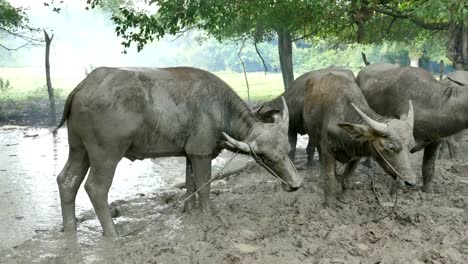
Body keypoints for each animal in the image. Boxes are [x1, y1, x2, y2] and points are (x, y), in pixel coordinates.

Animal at [54, 67, 304, 236]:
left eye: (287, 150)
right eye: (264, 158)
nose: (296, 184)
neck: (219, 110)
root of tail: (82, 86)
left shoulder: (191, 153)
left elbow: (190, 184)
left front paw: (188, 210)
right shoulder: (201, 152)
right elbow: (204, 186)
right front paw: (207, 213)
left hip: (78, 148)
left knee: (66, 180)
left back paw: (70, 228)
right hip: (106, 153)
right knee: (95, 188)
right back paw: (113, 233)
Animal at [302, 73, 414, 207]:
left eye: (411, 147)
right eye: (391, 147)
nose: (410, 182)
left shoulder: (356, 156)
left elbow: (347, 179)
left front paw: (344, 198)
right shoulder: (327, 151)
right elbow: (329, 178)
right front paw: (328, 204)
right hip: (315, 138)